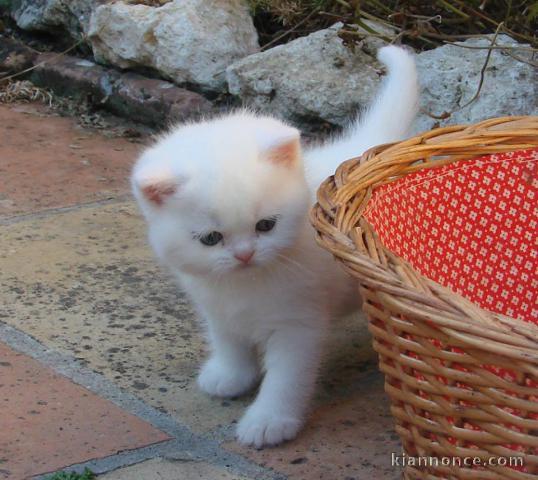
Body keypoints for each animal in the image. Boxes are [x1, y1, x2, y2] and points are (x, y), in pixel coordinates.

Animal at [132, 47, 416, 448]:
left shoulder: (298, 323)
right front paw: (231, 374)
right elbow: (229, 341)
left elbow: (286, 378)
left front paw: (269, 421)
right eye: (211, 239)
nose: (244, 254)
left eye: (266, 226)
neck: (245, 285)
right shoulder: (217, 306)